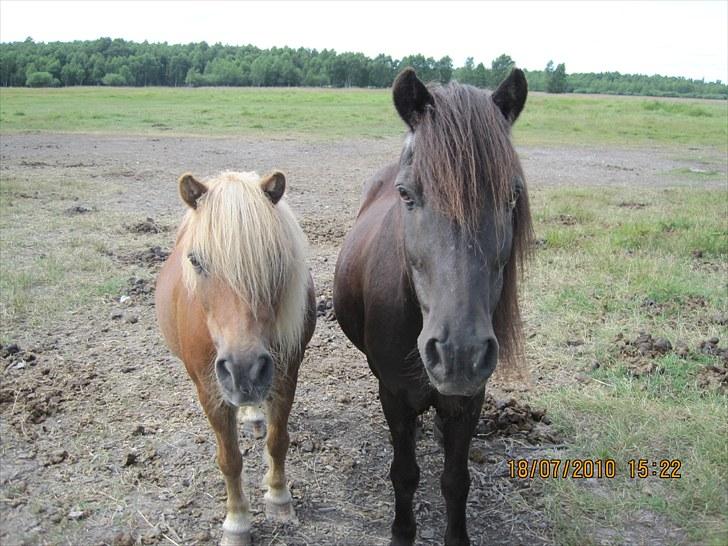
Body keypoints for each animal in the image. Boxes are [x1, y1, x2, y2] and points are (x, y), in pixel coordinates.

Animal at [156, 170, 316, 544]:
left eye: (275, 258)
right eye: (195, 261)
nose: (244, 371)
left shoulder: (286, 376)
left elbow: (277, 441)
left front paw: (278, 497)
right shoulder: (209, 390)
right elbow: (229, 459)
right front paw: (237, 522)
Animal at [332, 69, 532, 544]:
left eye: (512, 196)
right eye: (406, 195)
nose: (459, 354)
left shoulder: (471, 398)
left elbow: (456, 480)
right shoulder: (394, 395)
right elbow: (404, 474)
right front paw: (402, 532)